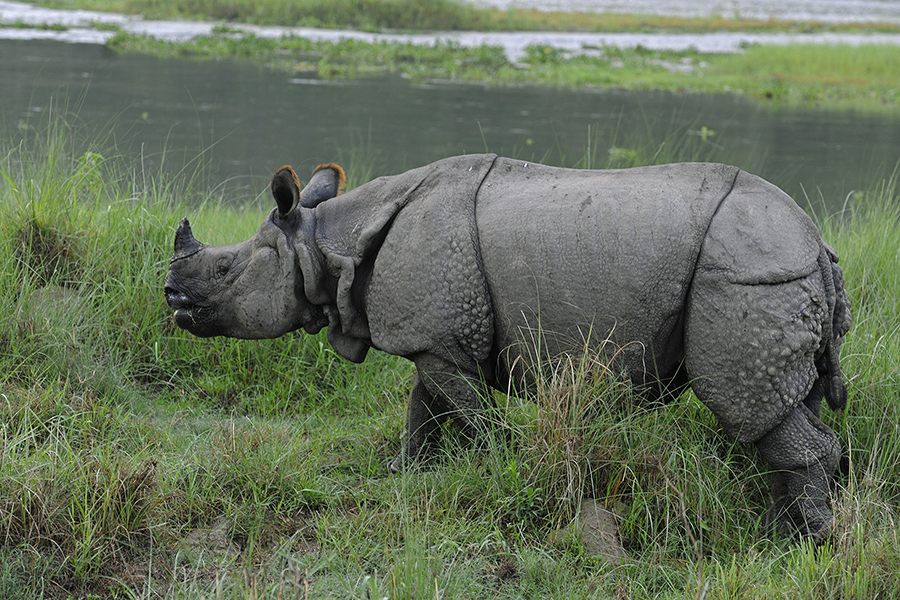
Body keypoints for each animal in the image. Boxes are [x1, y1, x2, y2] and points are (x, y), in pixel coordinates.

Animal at [164, 154, 851, 541]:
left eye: (224, 271)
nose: (170, 295)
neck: (327, 243)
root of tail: (816, 243)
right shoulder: (436, 336)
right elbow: (423, 406)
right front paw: (403, 473)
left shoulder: (441, 338)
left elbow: (471, 414)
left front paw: (502, 468)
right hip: (775, 275)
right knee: (792, 403)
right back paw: (787, 525)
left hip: (746, 276)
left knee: (749, 403)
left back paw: (797, 541)